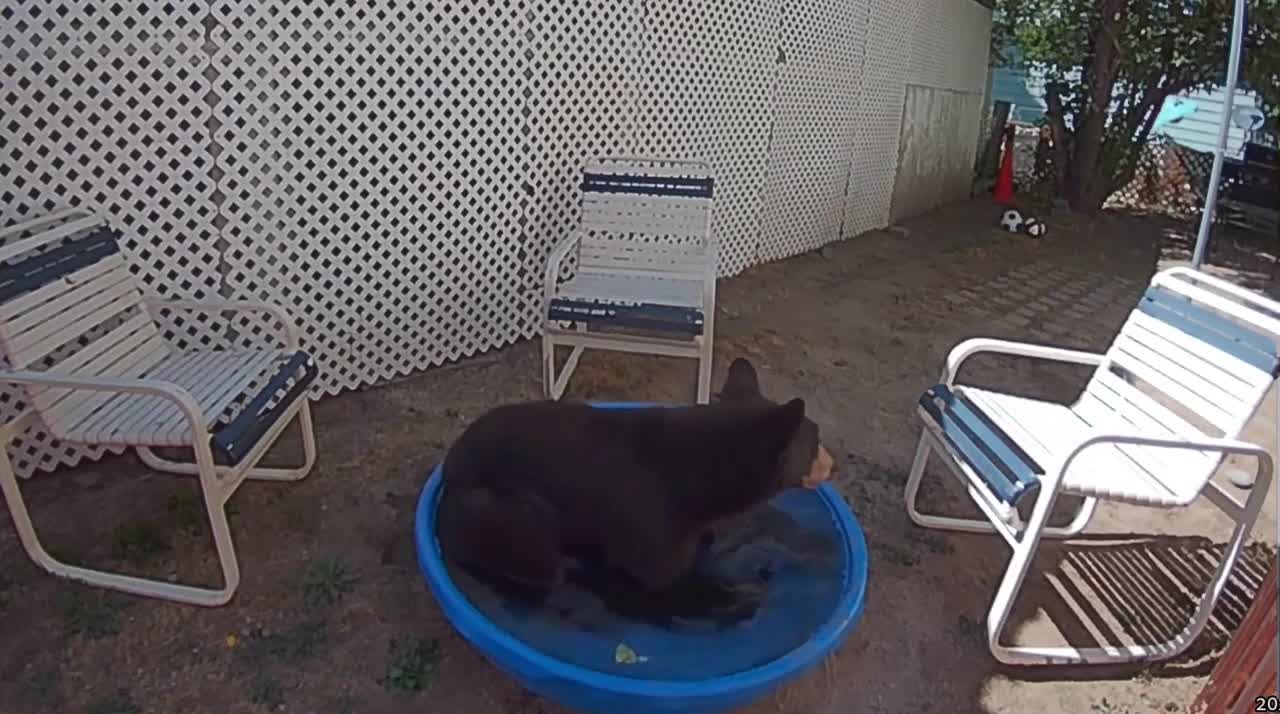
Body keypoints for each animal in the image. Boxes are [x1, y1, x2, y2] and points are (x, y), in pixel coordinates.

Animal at [435, 355, 834, 598]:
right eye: (817, 439)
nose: (833, 464)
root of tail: (450, 465)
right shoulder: (651, 537)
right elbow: (668, 584)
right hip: (495, 512)